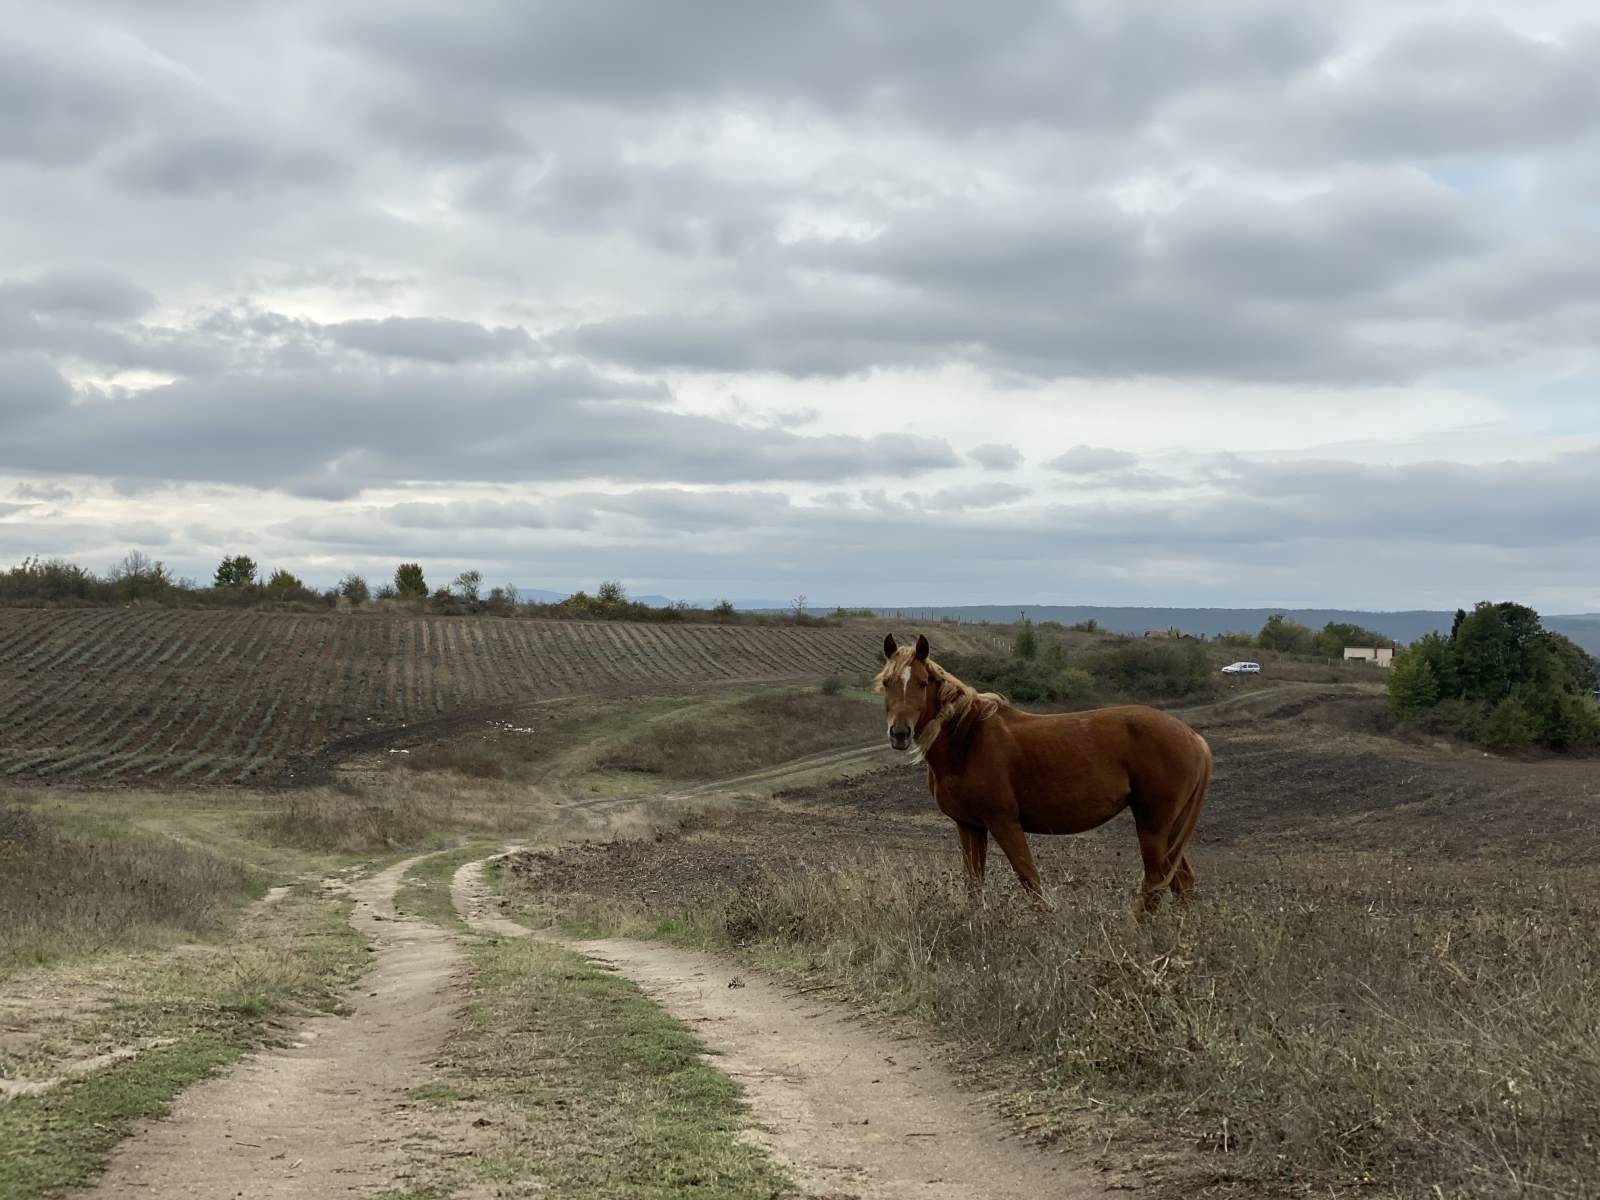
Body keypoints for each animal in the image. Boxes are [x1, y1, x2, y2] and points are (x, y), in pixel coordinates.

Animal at [883, 630, 1203, 908]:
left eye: (923, 683)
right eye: (887, 682)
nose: (899, 733)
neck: (967, 739)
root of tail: (1195, 739)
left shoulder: (1003, 822)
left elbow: (1031, 882)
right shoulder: (970, 826)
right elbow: (974, 885)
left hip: (1153, 826)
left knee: (1156, 882)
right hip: (1170, 830)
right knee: (1180, 881)